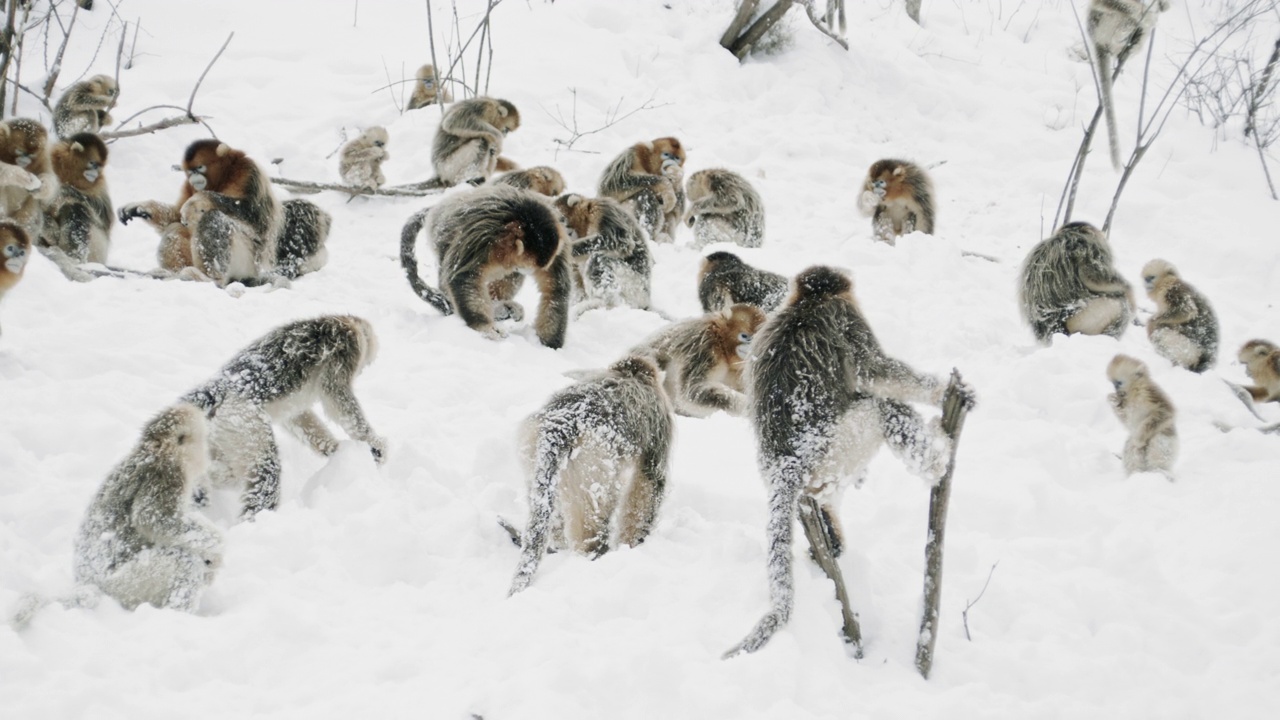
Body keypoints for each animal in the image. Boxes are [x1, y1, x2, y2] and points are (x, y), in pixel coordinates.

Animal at [506, 353, 675, 594]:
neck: (631, 373)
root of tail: (561, 425)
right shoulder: (658, 429)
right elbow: (645, 491)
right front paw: (633, 543)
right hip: (593, 469)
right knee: (592, 528)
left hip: (533, 453)